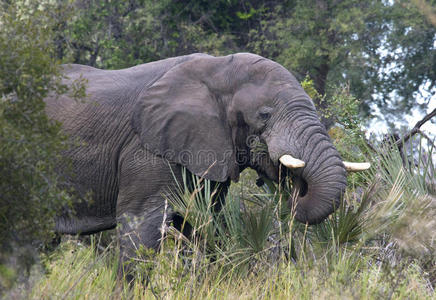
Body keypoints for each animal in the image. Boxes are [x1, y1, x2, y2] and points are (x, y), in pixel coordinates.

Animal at [44, 54, 370, 270]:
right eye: (264, 115)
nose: (292, 189)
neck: (219, 68)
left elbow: (203, 223)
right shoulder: (146, 149)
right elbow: (140, 228)